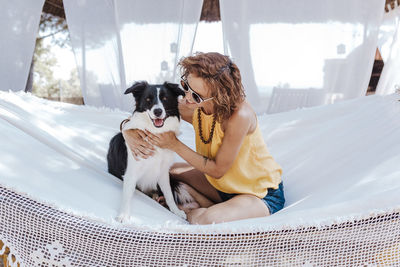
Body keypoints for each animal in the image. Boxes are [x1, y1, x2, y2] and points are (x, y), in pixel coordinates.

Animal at [108, 82, 192, 224]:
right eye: (148, 99)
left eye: (165, 98)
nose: (157, 111)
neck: (155, 132)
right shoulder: (131, 173)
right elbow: (127, 194)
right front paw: (124, 215)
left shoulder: (163, 172)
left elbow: (169, 194)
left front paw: (176, 211)